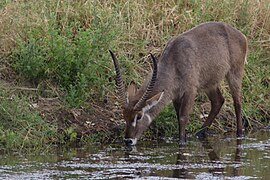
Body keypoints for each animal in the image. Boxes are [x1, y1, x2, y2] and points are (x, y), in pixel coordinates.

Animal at [109, 21, 247, 146]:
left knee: (237, 103)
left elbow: (183, 118)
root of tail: (239, 34)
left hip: (235, 73)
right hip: (210, 83)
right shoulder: (175, 95)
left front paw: (182, 142)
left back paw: (239, 134)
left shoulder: (190, 91)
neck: (174, 62)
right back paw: (199, 133)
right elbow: (178, 117)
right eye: (124, 116)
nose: (128, 141)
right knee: (218, 101)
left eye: (139, 116)